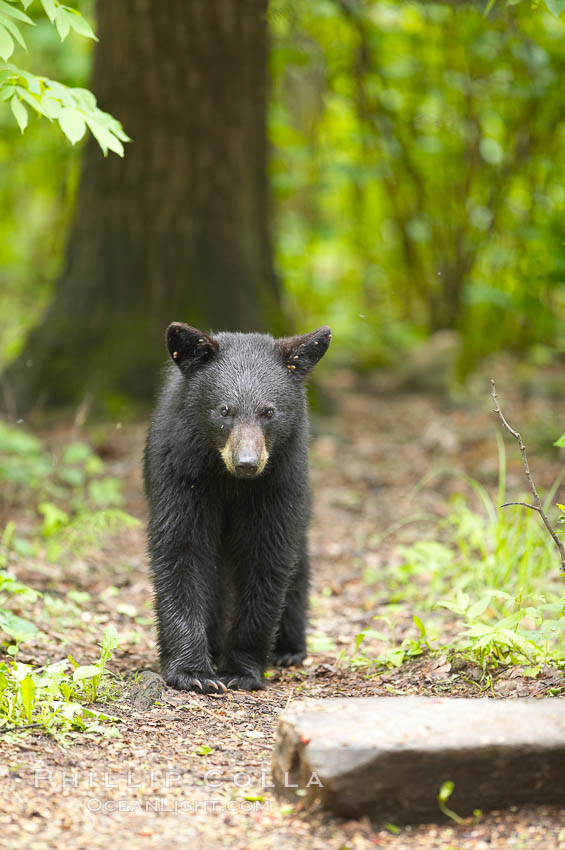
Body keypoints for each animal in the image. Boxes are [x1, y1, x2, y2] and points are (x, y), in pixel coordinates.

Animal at [143, 318, 330, 688]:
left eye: (269, 412)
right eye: (224, 410)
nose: (247, 462)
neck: (230, 482)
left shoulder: (278, 484)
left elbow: (267, 557)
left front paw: (240, 671)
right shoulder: (181, 473)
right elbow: (181, 550)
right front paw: (192, 673)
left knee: (298, 568)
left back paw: (289, 649)